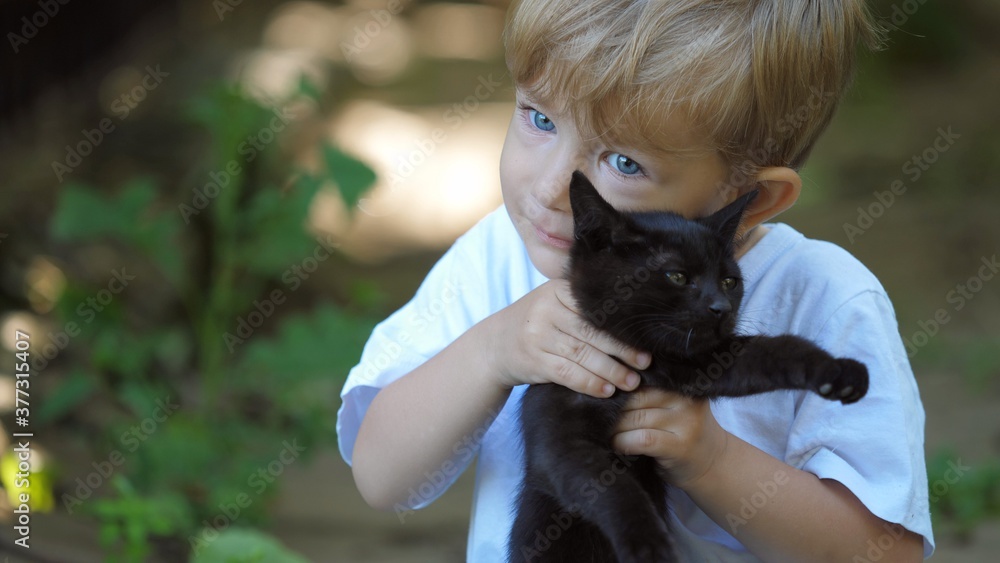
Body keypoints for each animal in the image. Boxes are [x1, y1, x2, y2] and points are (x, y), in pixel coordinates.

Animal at [508, 173, 868, 563]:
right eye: (677, 277)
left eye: (729, 281)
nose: (720, 308)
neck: (651, 360)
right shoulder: (562, 433)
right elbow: (609, 485)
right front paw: (646, 541)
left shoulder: (705, 362)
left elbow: (776, 351)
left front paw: (837, 370)